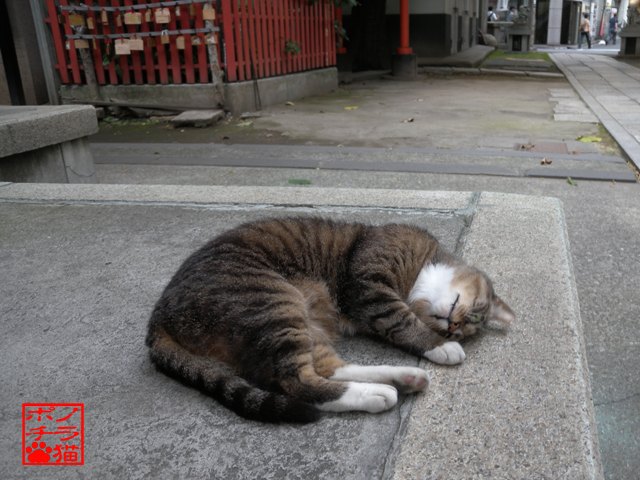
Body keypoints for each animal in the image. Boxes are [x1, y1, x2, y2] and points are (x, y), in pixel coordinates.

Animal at [146, 218, 516, 424]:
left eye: (466, 327)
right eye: (476, 314)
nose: (453, 327)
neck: (419, 273)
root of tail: (158, 316)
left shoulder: (368, 304)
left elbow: (400, 321)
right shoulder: (367, 286)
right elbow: (404, 320)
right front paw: (440, 346)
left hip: (299, 321)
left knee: (325, 369)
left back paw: (400, 379)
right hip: (273, 303)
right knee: (296, 383)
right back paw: (379, 392)